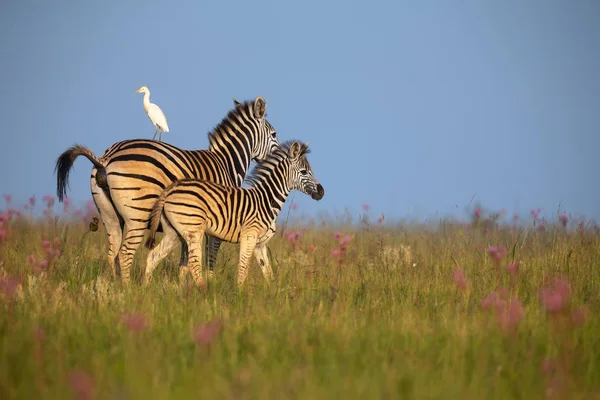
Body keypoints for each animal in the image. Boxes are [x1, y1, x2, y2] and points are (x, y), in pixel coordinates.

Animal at [54, 96, 278, 284]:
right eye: (274, 134)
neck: (226, 163)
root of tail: (106, 158)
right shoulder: (220, 220)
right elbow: (210, 259)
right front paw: (208, 285)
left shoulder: (189, 223)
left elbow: (184, 262)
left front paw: (180, 290)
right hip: (138, 215)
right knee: (125, 254)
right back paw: (129, 291)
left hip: (109, 215)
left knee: (113, 253)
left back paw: (115, 288)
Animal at [144, 141, 324, 288]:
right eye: (304, 171)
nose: (321, 192)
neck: (266, 200)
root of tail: (170, 189)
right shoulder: (249, 235)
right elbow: (243, 269)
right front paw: (240, 295)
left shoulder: (260, 245)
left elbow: (268, 273)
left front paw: (273, 295)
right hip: (193, 230)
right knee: (194, 263)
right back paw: (204, 291)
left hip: (174, 233)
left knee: (153, 256)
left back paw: (146, 289)